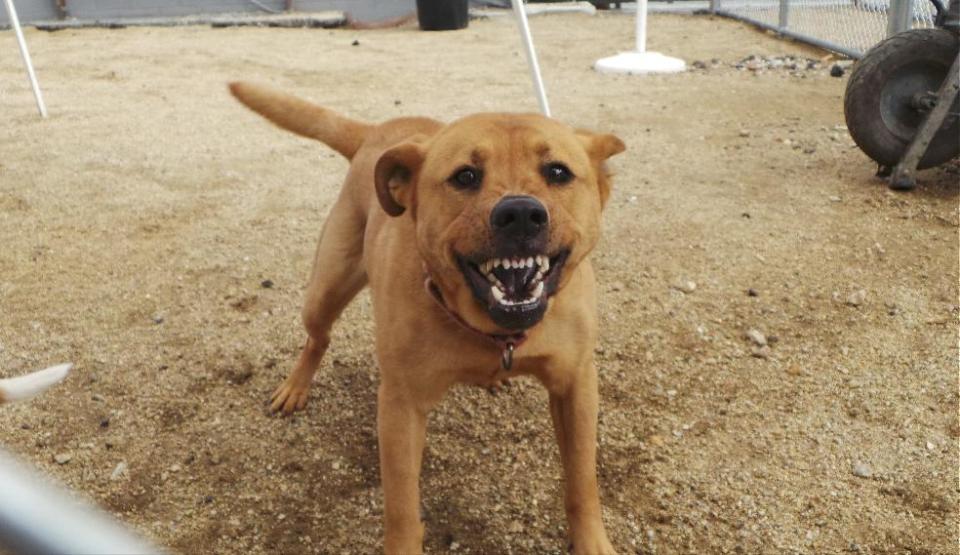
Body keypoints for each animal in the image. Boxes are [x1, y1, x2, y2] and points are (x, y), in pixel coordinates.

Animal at [230, 83, 628, 555]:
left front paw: (591, 540)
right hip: (324, 292)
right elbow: (402, 506)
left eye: (558, 172)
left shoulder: (577, 387)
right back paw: (295, 386)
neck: (492, 330)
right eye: (465, 177)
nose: (520, 214)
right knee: (317, 338)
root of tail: (378, 131)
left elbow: (582, 479)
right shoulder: (401, 406)